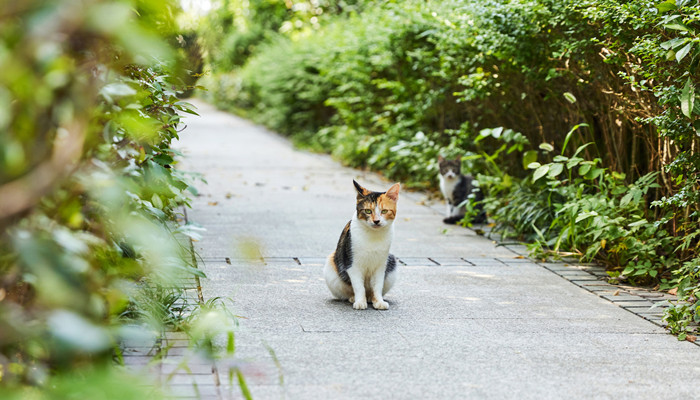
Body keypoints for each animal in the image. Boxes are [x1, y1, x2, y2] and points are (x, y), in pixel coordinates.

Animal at [322, 180, 400, 310]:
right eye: (368, 211)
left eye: (384, 211)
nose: (376, 221)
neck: (373, 236)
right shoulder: (352, 264)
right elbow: (358, 286)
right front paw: (359, 301)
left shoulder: (381, 266)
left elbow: (377, 285)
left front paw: (378, 301)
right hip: (331, 268)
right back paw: (353, 298)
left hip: (392, 262)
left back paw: (370, 298)